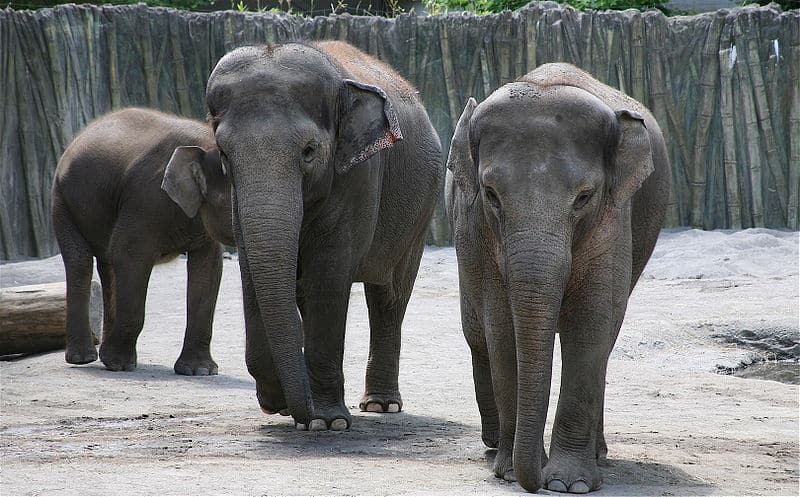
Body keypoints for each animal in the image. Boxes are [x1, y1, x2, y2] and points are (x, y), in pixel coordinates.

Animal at [51, 106, 233, 374]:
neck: (203, 144)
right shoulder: (145, 200)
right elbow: (130, 257)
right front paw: (118, 364)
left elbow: (208, 268)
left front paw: (200, 371)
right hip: (62, 201)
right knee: (81, 261)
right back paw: (85, 359)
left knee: (107, 264)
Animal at [205, 41, 444, 430]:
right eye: (223, 153)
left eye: (309, 150)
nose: (296, 409)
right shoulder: (238, 200)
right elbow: (253, 273)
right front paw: (283, 404)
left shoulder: (359, 177)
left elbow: (328, 278)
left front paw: (326, 422)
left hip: (423, 209)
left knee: (390, 296)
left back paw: (381, 405)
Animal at [446, 63, 672, 492]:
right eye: (490, 193)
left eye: (584, 197)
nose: (532, 478)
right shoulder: (478, 231)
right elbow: (502, 329)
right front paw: (510, 472)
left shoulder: (613, 222)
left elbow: (591, 323)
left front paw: (569, 484)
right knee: (476, 333)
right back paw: (494, 445)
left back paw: (597, 453)